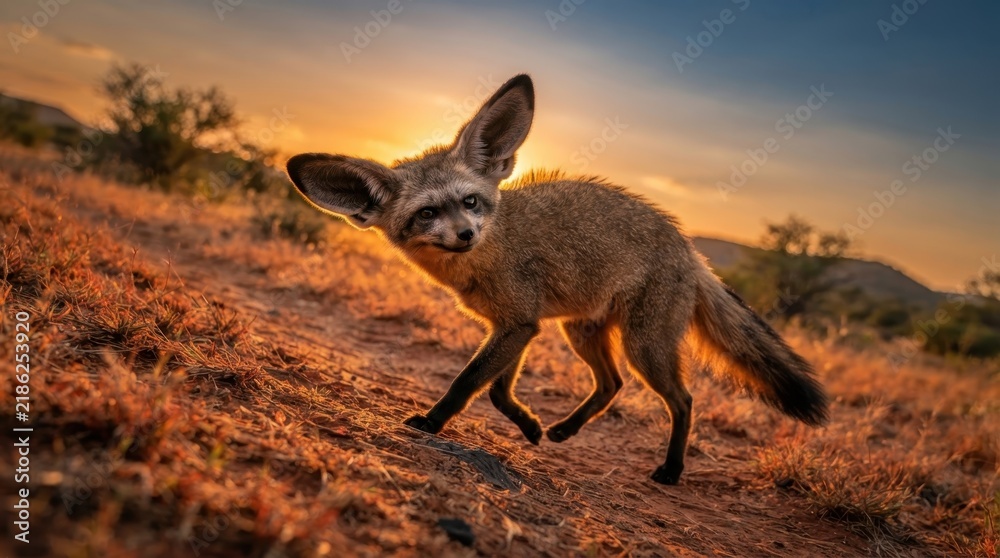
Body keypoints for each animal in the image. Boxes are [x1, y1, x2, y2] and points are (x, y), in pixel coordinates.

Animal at [285, 74, 829, 485]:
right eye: (426, 214)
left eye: (470, 202)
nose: (465, 235)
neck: (488, 257)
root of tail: (692, 252)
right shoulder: (516, 326)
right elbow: (497, 391)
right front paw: (528, 426)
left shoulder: (518, 324)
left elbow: (468, 383)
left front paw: (433, 422)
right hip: (581, 332)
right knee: (612, 384)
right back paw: (566, 430)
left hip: (644, 347)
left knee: (683, 399)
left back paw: (672, 470)